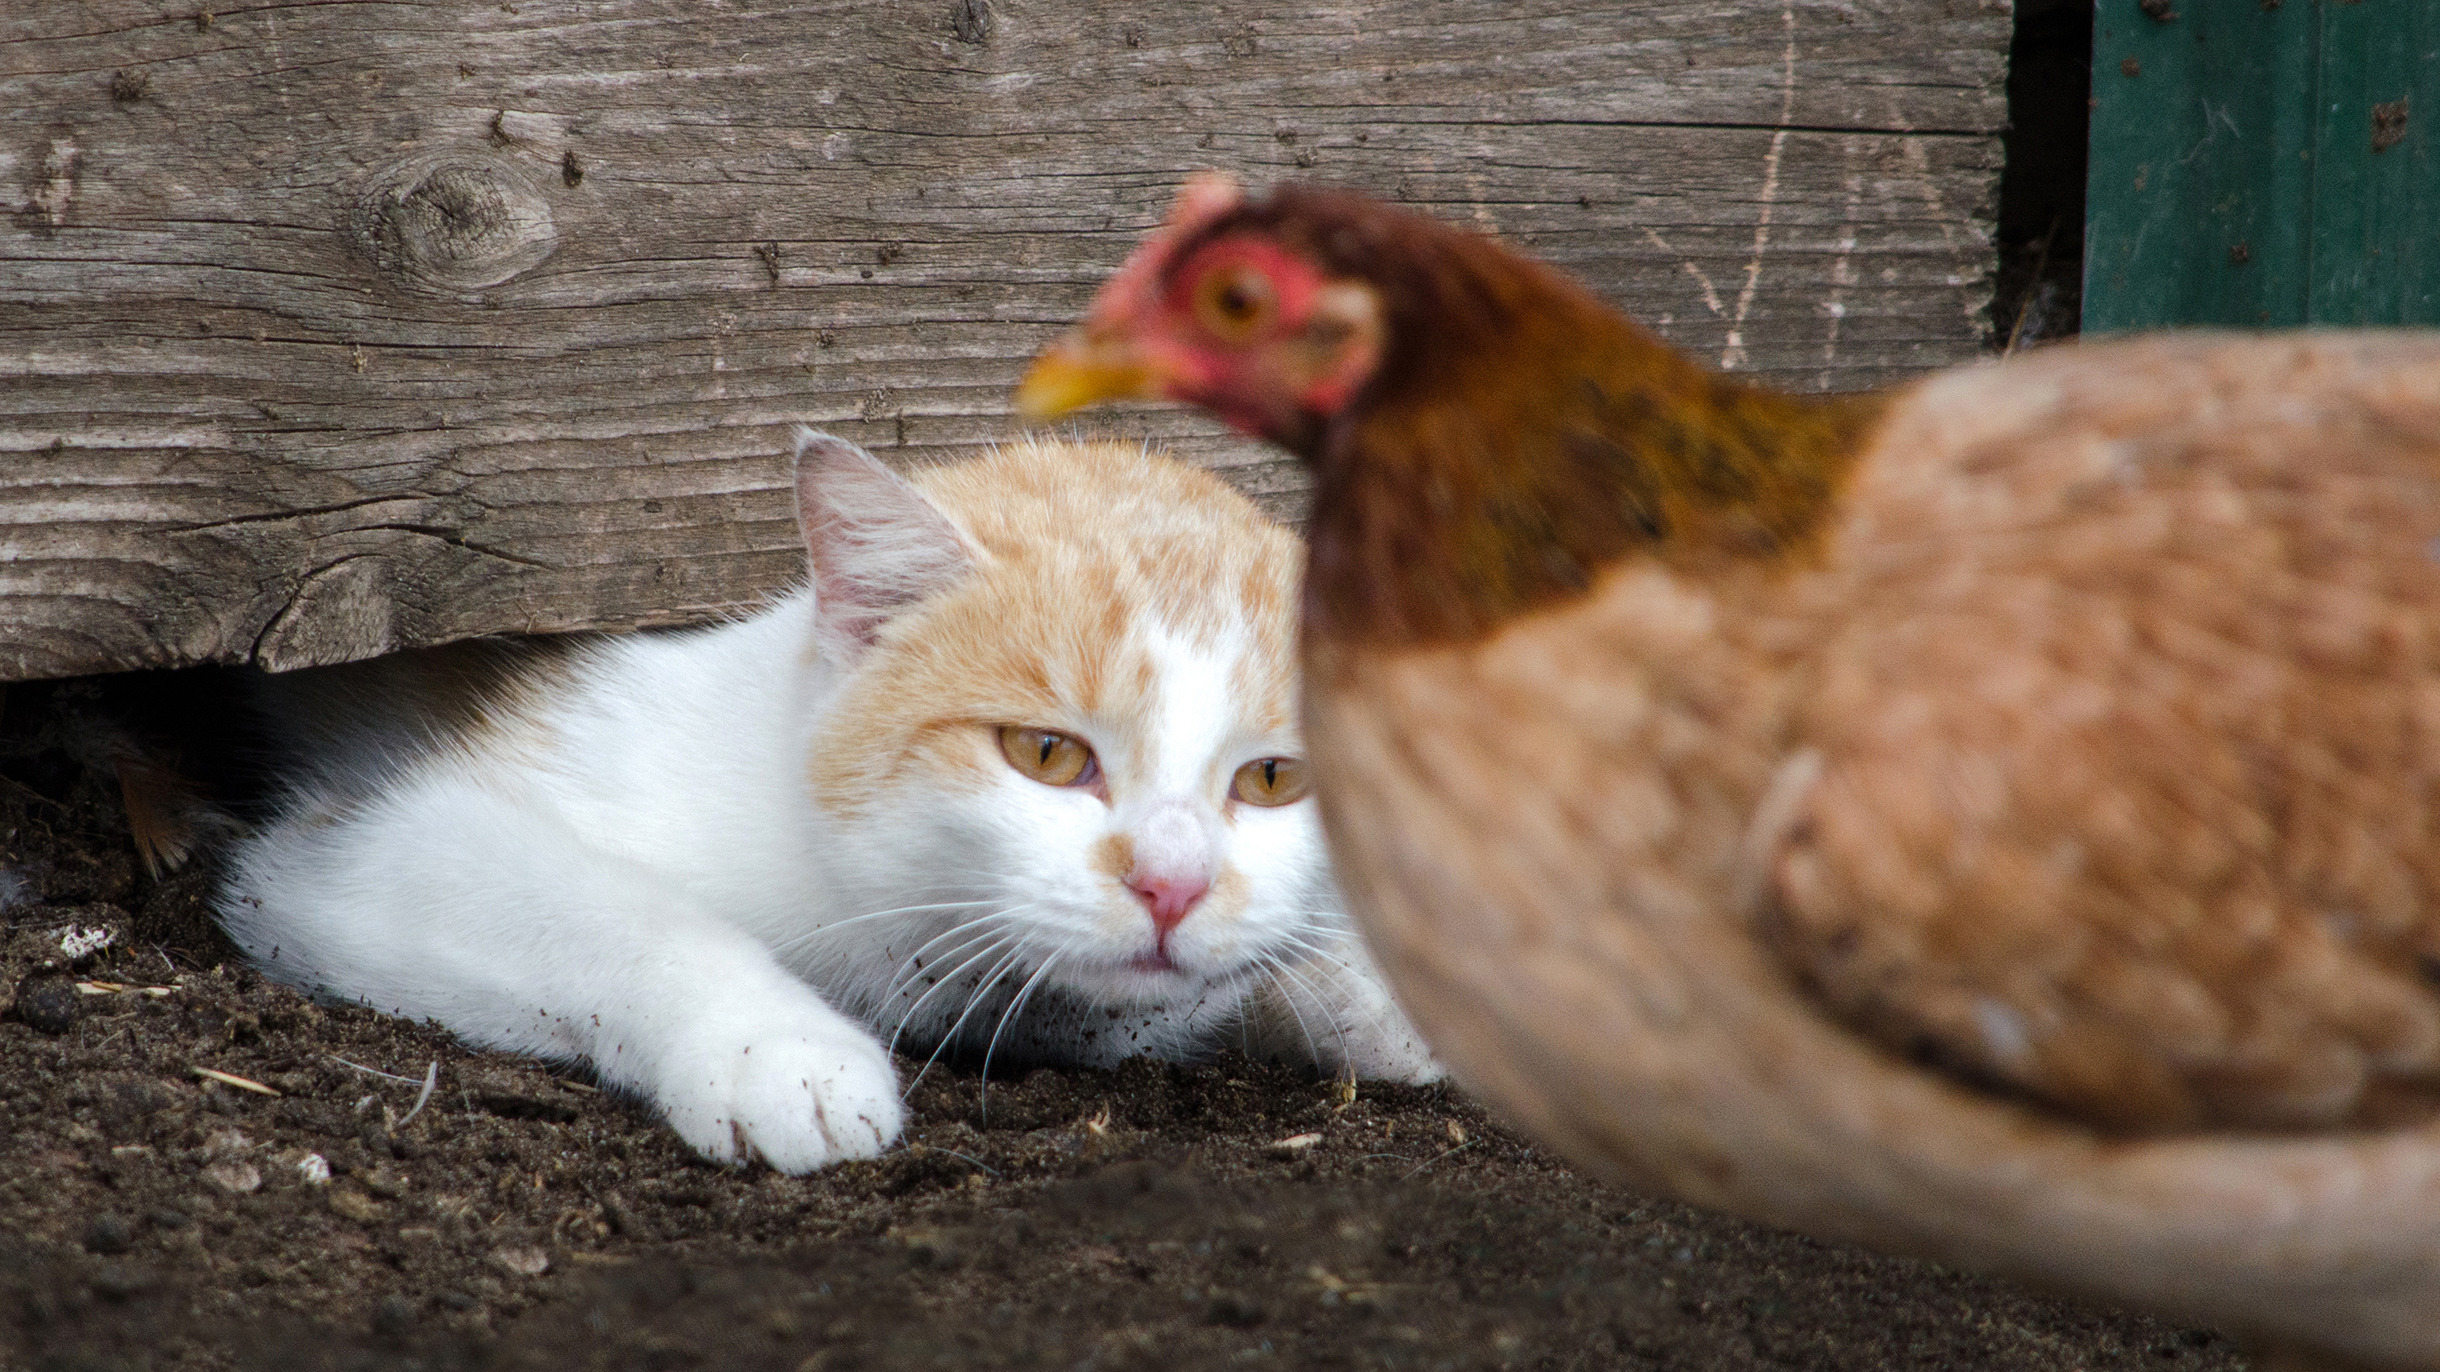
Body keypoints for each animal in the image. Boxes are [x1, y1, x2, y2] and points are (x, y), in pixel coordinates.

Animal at [219, 427, 1434, 1162]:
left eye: (1273, 778)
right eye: (1046, 754)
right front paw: (774, 1047)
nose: (1174, 886)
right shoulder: (350, 858)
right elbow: (615, 910)